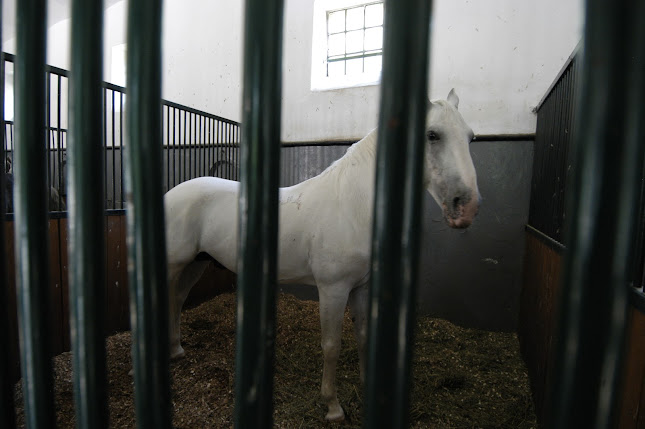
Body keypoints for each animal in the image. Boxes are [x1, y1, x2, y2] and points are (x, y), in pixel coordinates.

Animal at [164, 88, 480, 420]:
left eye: (470, 137)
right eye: (433, 134)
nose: (466, 206)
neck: (353, 205)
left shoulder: (360, 287)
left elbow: (362, 336)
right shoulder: (333, 289)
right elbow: (331, 345)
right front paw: (332, 405)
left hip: (196, 263)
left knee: (178, 299)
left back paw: (177, 350)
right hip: (175, 263)